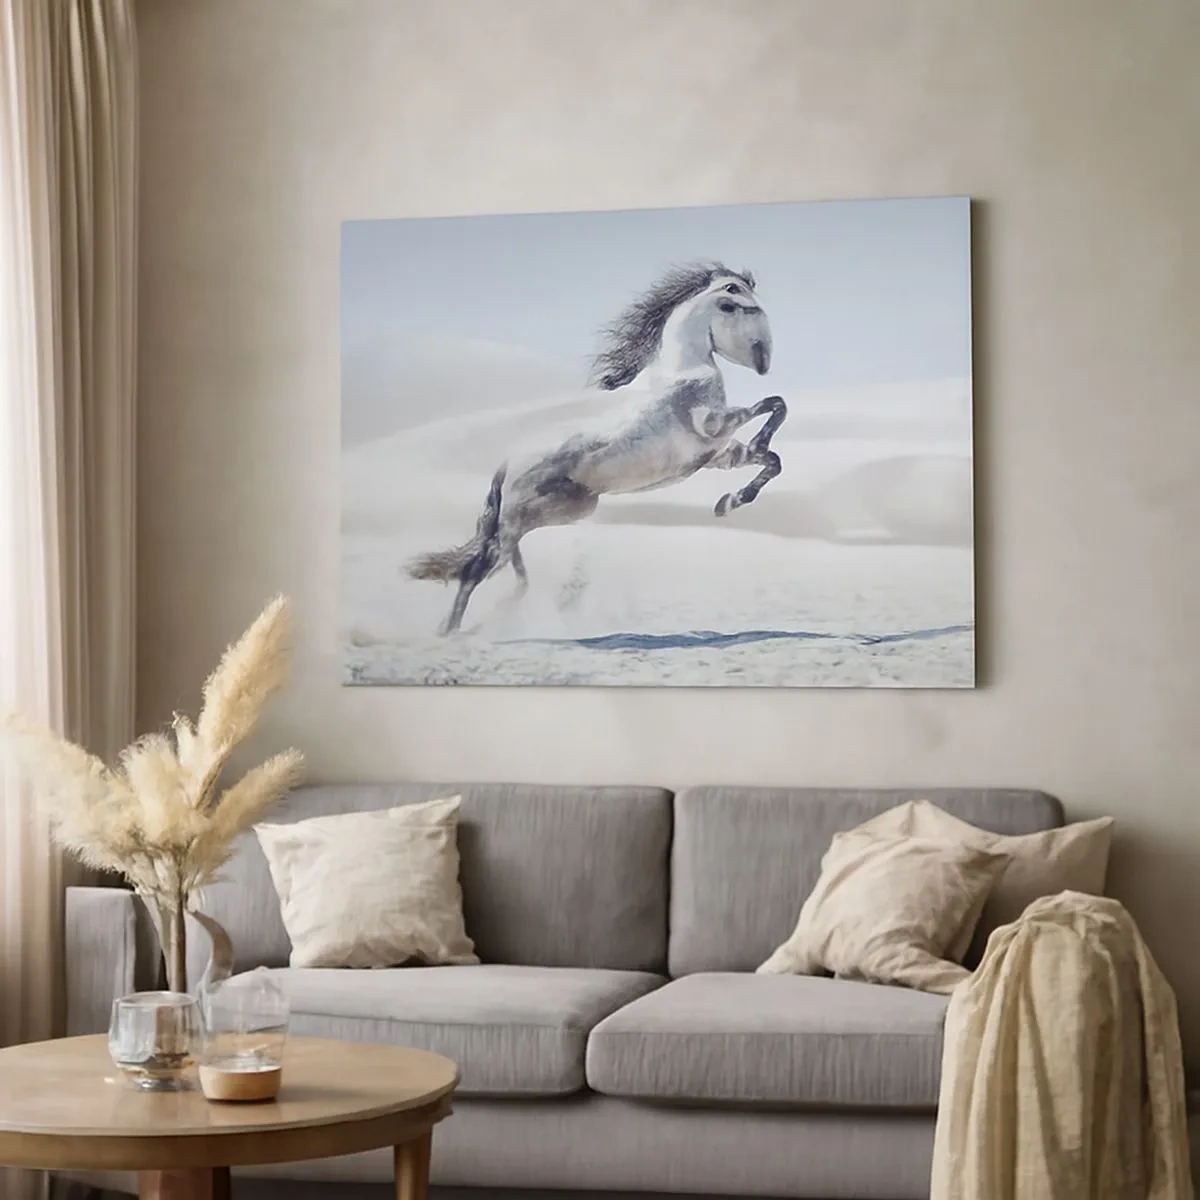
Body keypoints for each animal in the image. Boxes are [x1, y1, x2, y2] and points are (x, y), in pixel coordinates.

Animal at [407, 261, 788, 634]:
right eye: (732, 303)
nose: (763, 361)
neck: (683, 371)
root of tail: (507, 465)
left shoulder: (717, 455)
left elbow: (772, 459)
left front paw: (729, 502)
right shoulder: (714, 424)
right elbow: (774, 405)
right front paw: (736, 487)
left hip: (563, 511)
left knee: (501, 558)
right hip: (538, 514)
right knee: (482, 565)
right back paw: (454, 630)